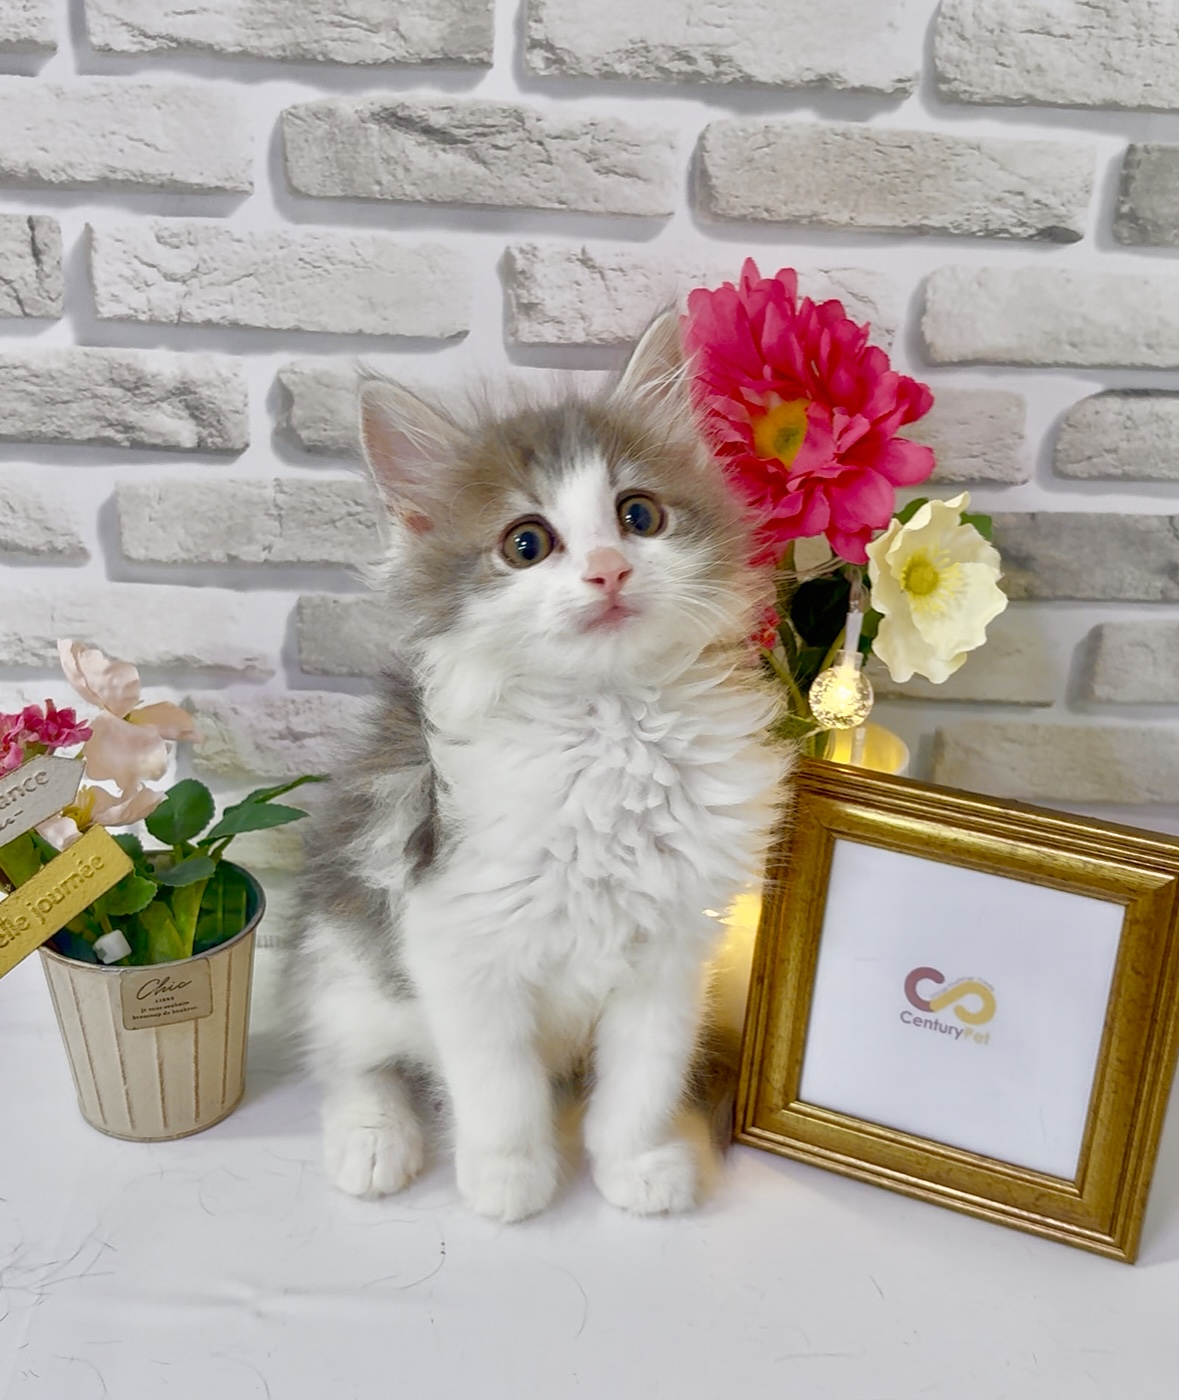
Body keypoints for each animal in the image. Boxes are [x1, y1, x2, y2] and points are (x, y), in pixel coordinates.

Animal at [289, 314, 791, 1223]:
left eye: (638, 515)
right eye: (526, 543)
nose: (608, 569)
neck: (607, 730)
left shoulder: (669, 956)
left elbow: (641, 1081)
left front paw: (634, 1165)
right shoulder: (455, 942)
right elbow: (498, 1085)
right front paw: (507, 1176)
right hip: (349, 963)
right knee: (351, 1060)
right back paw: (374, 1140)